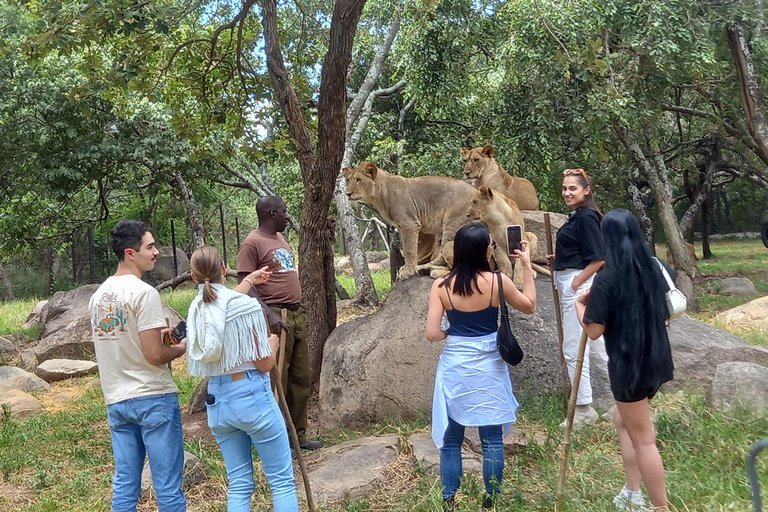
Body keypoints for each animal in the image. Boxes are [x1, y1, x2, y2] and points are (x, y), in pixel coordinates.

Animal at [344, 162, 480, 278]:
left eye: (358, 180)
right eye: (347, 180)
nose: (347, 193)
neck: (379, 195)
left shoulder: (409, 224)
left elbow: (409, 250)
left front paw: (408, 271)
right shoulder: (402, 226)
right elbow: (408, 248)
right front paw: (406, 268)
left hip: (452, 223)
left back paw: (427, 270)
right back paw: (424, 268)